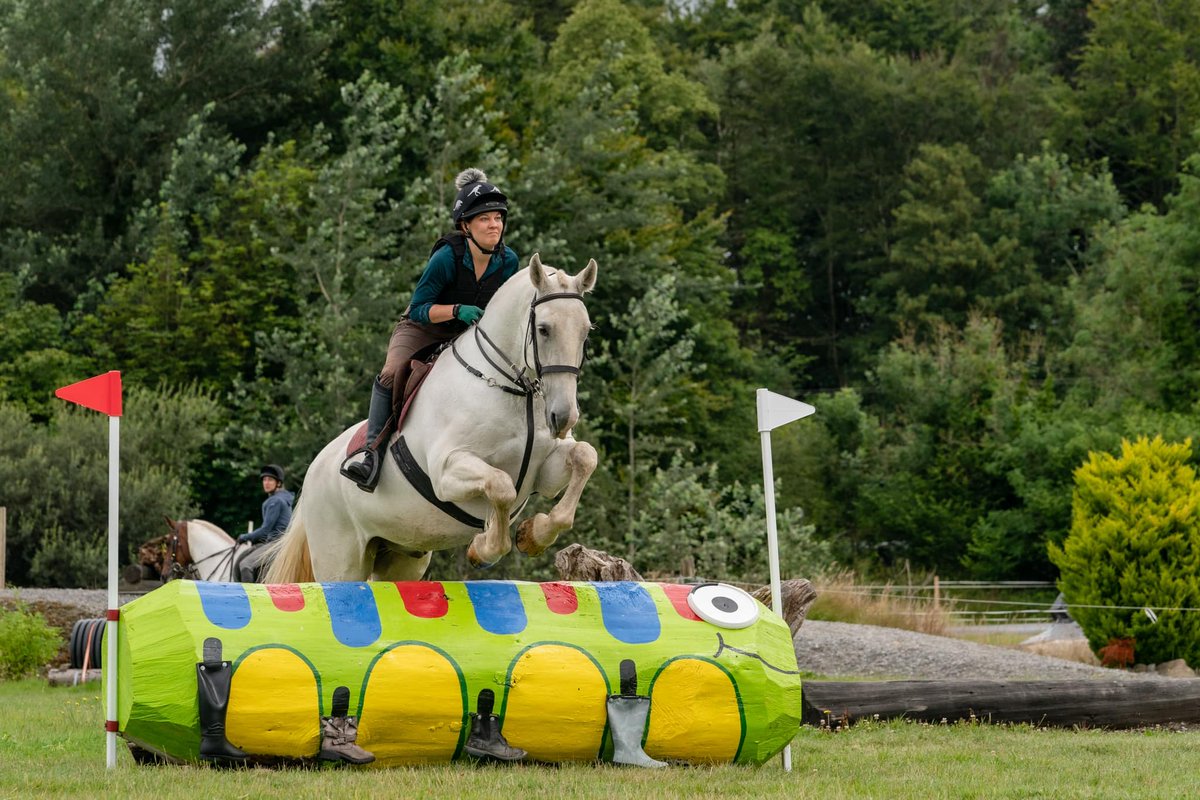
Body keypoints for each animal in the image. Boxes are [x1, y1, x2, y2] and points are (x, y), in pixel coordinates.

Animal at [265, 255, 597, 582]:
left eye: (586, 332)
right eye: (544, 329)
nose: (563, 417)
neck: (515, 393)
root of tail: (314, 471)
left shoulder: (543, 471)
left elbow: (585, 457)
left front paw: (533, 535)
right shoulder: (447, 471)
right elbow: (501, 486)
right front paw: (483, 549)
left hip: (400, 555)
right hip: (339, 557)